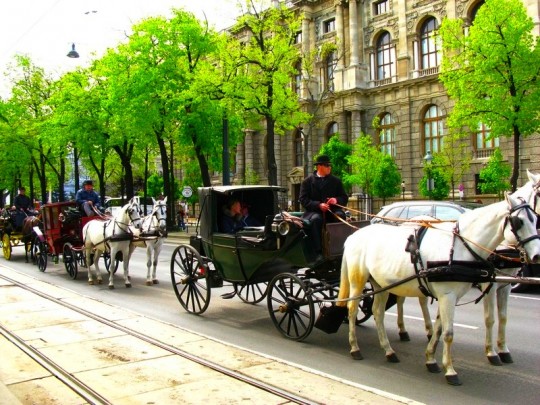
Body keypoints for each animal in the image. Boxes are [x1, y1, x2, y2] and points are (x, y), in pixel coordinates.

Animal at [338, 193, 540, 386]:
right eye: (519, 222)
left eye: (535, 219)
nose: (537, 255)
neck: (460, 247)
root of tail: (353, 236)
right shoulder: (452, 295)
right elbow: (450, 333)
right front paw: (451, 370)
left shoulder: (452, 297)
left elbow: (439, 329)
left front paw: (431, 359)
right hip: (358, 281)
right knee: (352, 309)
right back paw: (354, 347)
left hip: (381, 284)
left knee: (378, 312)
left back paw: (389, 350)